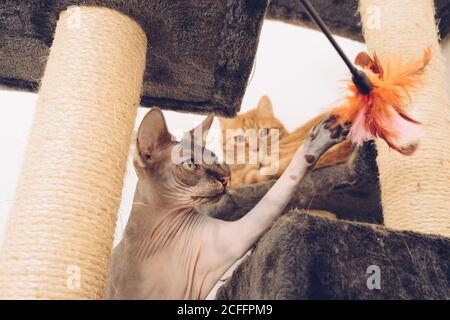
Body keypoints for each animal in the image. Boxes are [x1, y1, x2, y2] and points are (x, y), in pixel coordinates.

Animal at [106, 109, 352, 298]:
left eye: (214, 157)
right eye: (190, 165)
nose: (225, 177)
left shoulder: (232, 239)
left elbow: (283, 182)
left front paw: (318, 142)